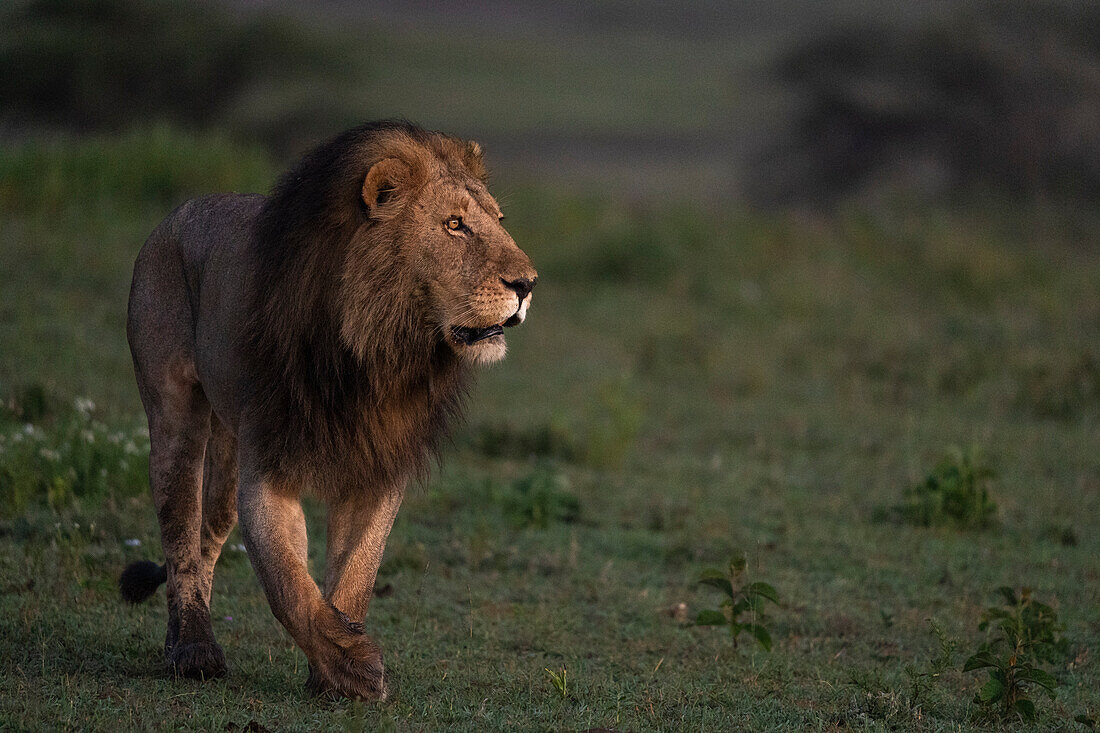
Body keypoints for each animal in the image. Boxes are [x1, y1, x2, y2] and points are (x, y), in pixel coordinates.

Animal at [117, 121, 536, 695]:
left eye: (498, 221)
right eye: (455, 225)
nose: (528, 285)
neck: (376, 351)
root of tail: (176, 214)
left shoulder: (377, 464)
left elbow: (356, 572)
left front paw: (333, 672)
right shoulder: (270, 468)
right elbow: (289, 585)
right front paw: (354, 668)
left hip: (229, 445)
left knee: (207, 533)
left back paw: (178, 640)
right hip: (174, 415)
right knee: (179, 530)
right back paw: (194, 649)